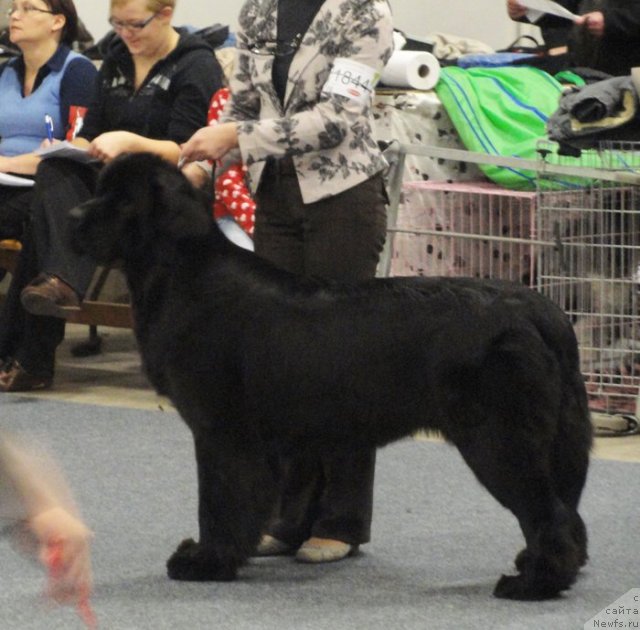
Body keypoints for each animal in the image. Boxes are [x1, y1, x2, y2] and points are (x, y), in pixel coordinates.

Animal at [69, 153, 592, 604]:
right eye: (100, 190)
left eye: (121, 200)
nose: (73, 217)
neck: (180, 270)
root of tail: (539, 308)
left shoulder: (222, 432)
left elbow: (218, 501)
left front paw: (206, 561)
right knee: (566, 511)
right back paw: (536, 567)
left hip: (498, 438)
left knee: (547, 511)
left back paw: (534, 583)